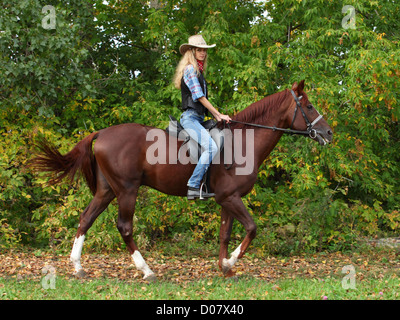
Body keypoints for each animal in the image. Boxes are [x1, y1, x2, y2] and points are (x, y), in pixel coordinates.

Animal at [31, 80, 332, 280]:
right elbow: (252, 228)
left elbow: (225, 234)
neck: (243, 143)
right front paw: (229, 264)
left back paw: (78, 267)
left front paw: (225, 269)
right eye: (308, 105)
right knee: (124, 227)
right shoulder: (231, 198)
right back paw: (147, 271)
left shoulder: (227, 200)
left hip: (107, 191)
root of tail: (102, 133)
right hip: (127, 190)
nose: (328, 133)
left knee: (86, 219)